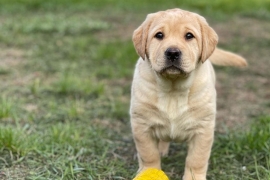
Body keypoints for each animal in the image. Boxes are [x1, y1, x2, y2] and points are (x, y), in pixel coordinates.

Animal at [131, 8, 247, 179]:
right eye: (159, 35)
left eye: (189, 36)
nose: (172, 53)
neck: (173, 89)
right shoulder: (142, 124)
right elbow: (149, 154)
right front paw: (149, 171)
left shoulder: (203, 128)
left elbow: (196, 159)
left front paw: (193, 177)